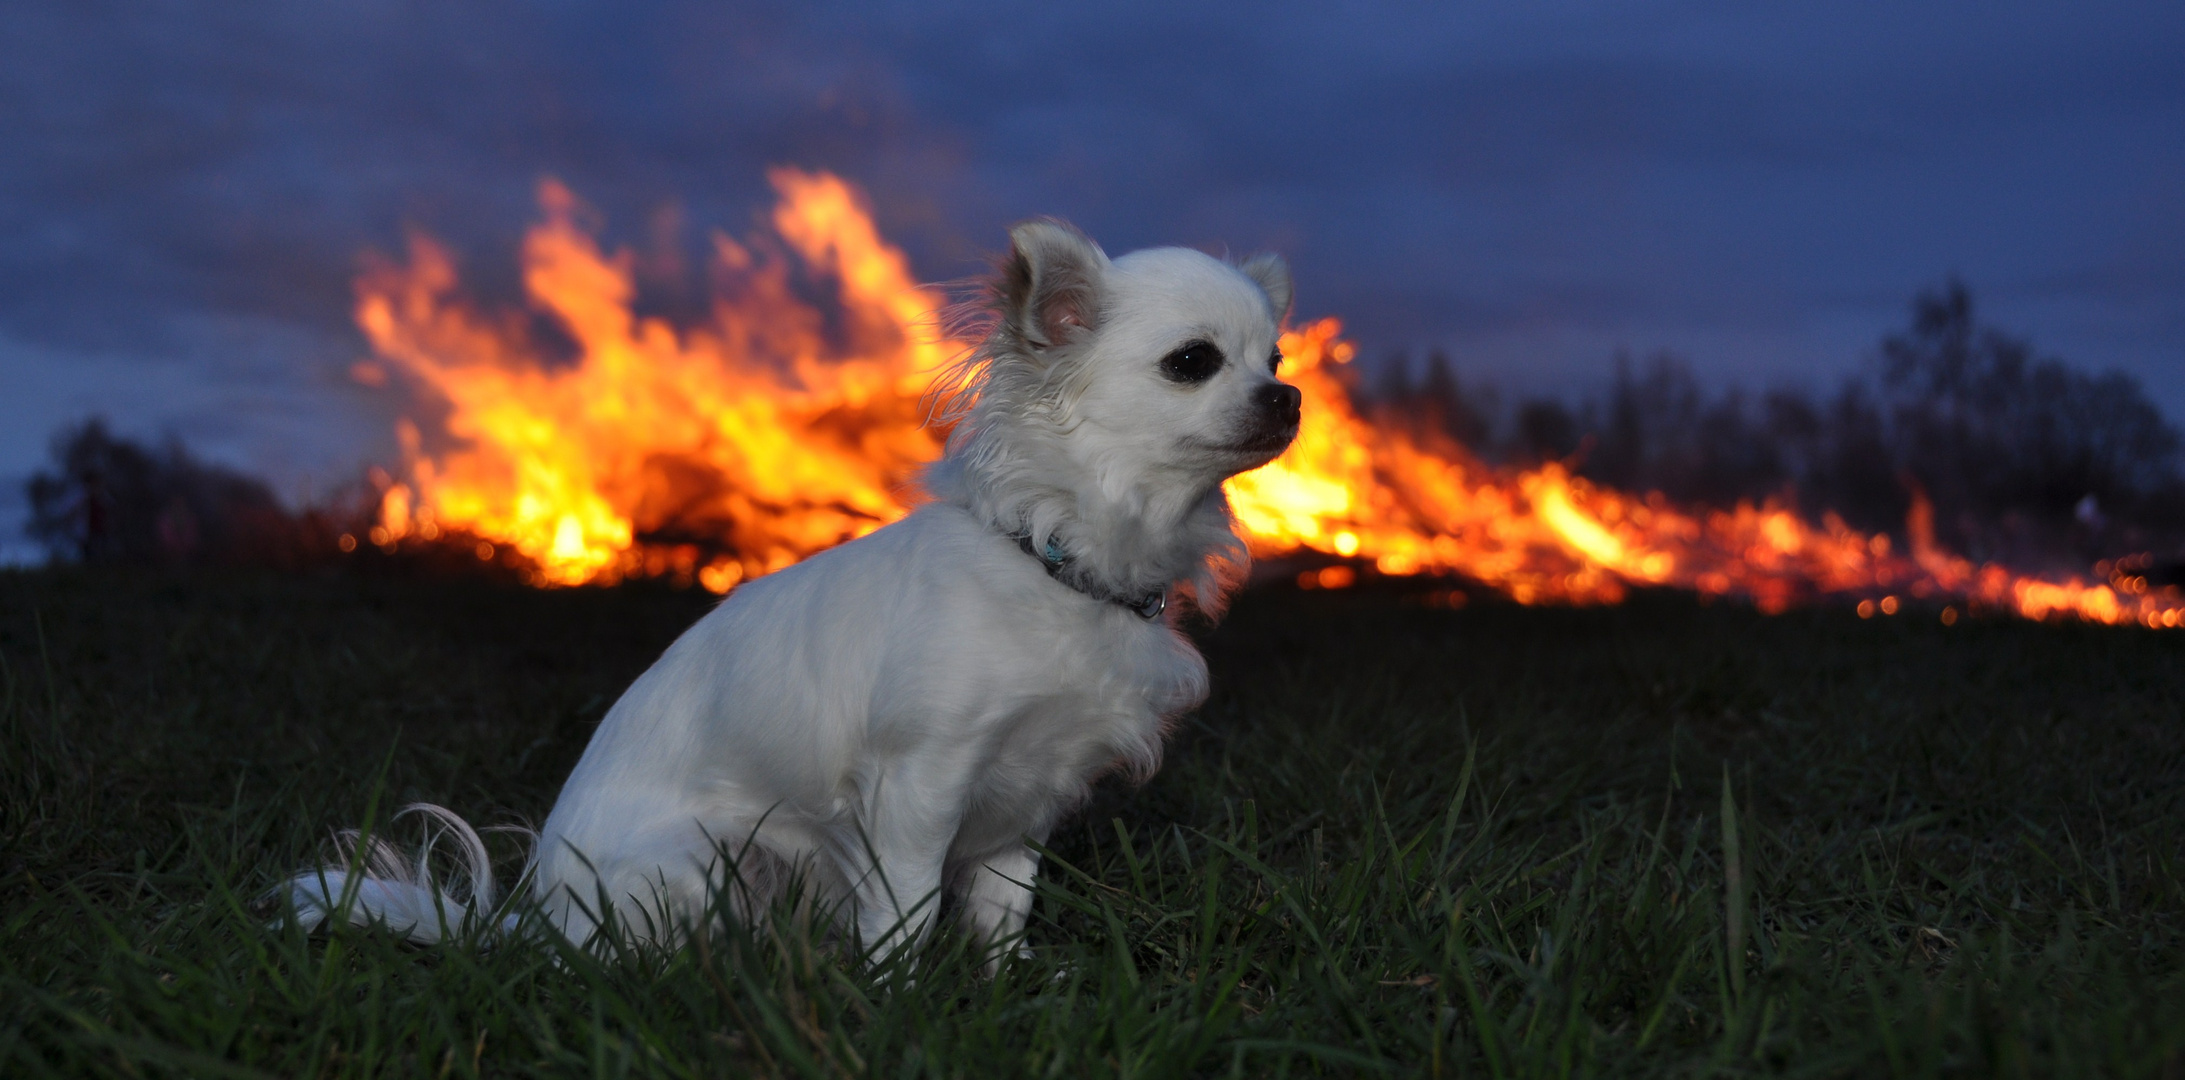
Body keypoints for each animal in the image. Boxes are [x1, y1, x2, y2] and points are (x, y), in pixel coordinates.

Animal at [275, 217, 1293, 961]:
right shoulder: (920, 784)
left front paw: (1005, 989)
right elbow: (907, 913)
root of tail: (536, 921)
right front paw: (901, 1002)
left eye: (1275, 359)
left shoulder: (1024, 805)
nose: (1289, 398)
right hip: (697, 860)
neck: (1058, 561)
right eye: (1193, 362)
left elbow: (1001, 913)